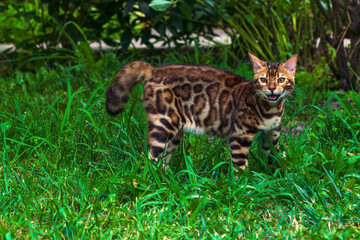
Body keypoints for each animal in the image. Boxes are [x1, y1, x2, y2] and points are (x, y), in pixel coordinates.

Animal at [105, 53, 296, 171]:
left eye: (281, 79)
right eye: (263, 80)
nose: (272, 88)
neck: (271, 109)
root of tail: (153, 69)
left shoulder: (272, 134)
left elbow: (273, 158)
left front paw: (274, 179)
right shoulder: (239, 136)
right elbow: (240, 166)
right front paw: (243, 188)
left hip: (175, 132)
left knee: (163, 159)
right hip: (164, 124)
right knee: (151, 158)